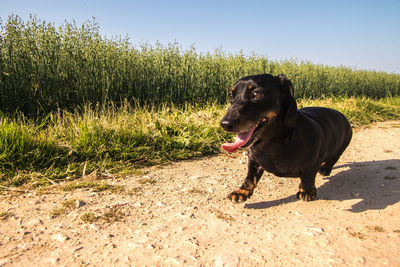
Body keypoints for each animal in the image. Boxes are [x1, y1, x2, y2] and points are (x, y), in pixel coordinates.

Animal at [220, 73, 352, 203]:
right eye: (231, 95)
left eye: (256, 94)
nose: (224, 124)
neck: (271, 142)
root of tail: (341, 114)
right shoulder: (253, 161)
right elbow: (249, 177)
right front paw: (242, 191)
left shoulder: (313, 163)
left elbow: (308, 178)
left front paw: (307, 191)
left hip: (343, 144)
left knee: (334, 158)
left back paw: (325, 168)